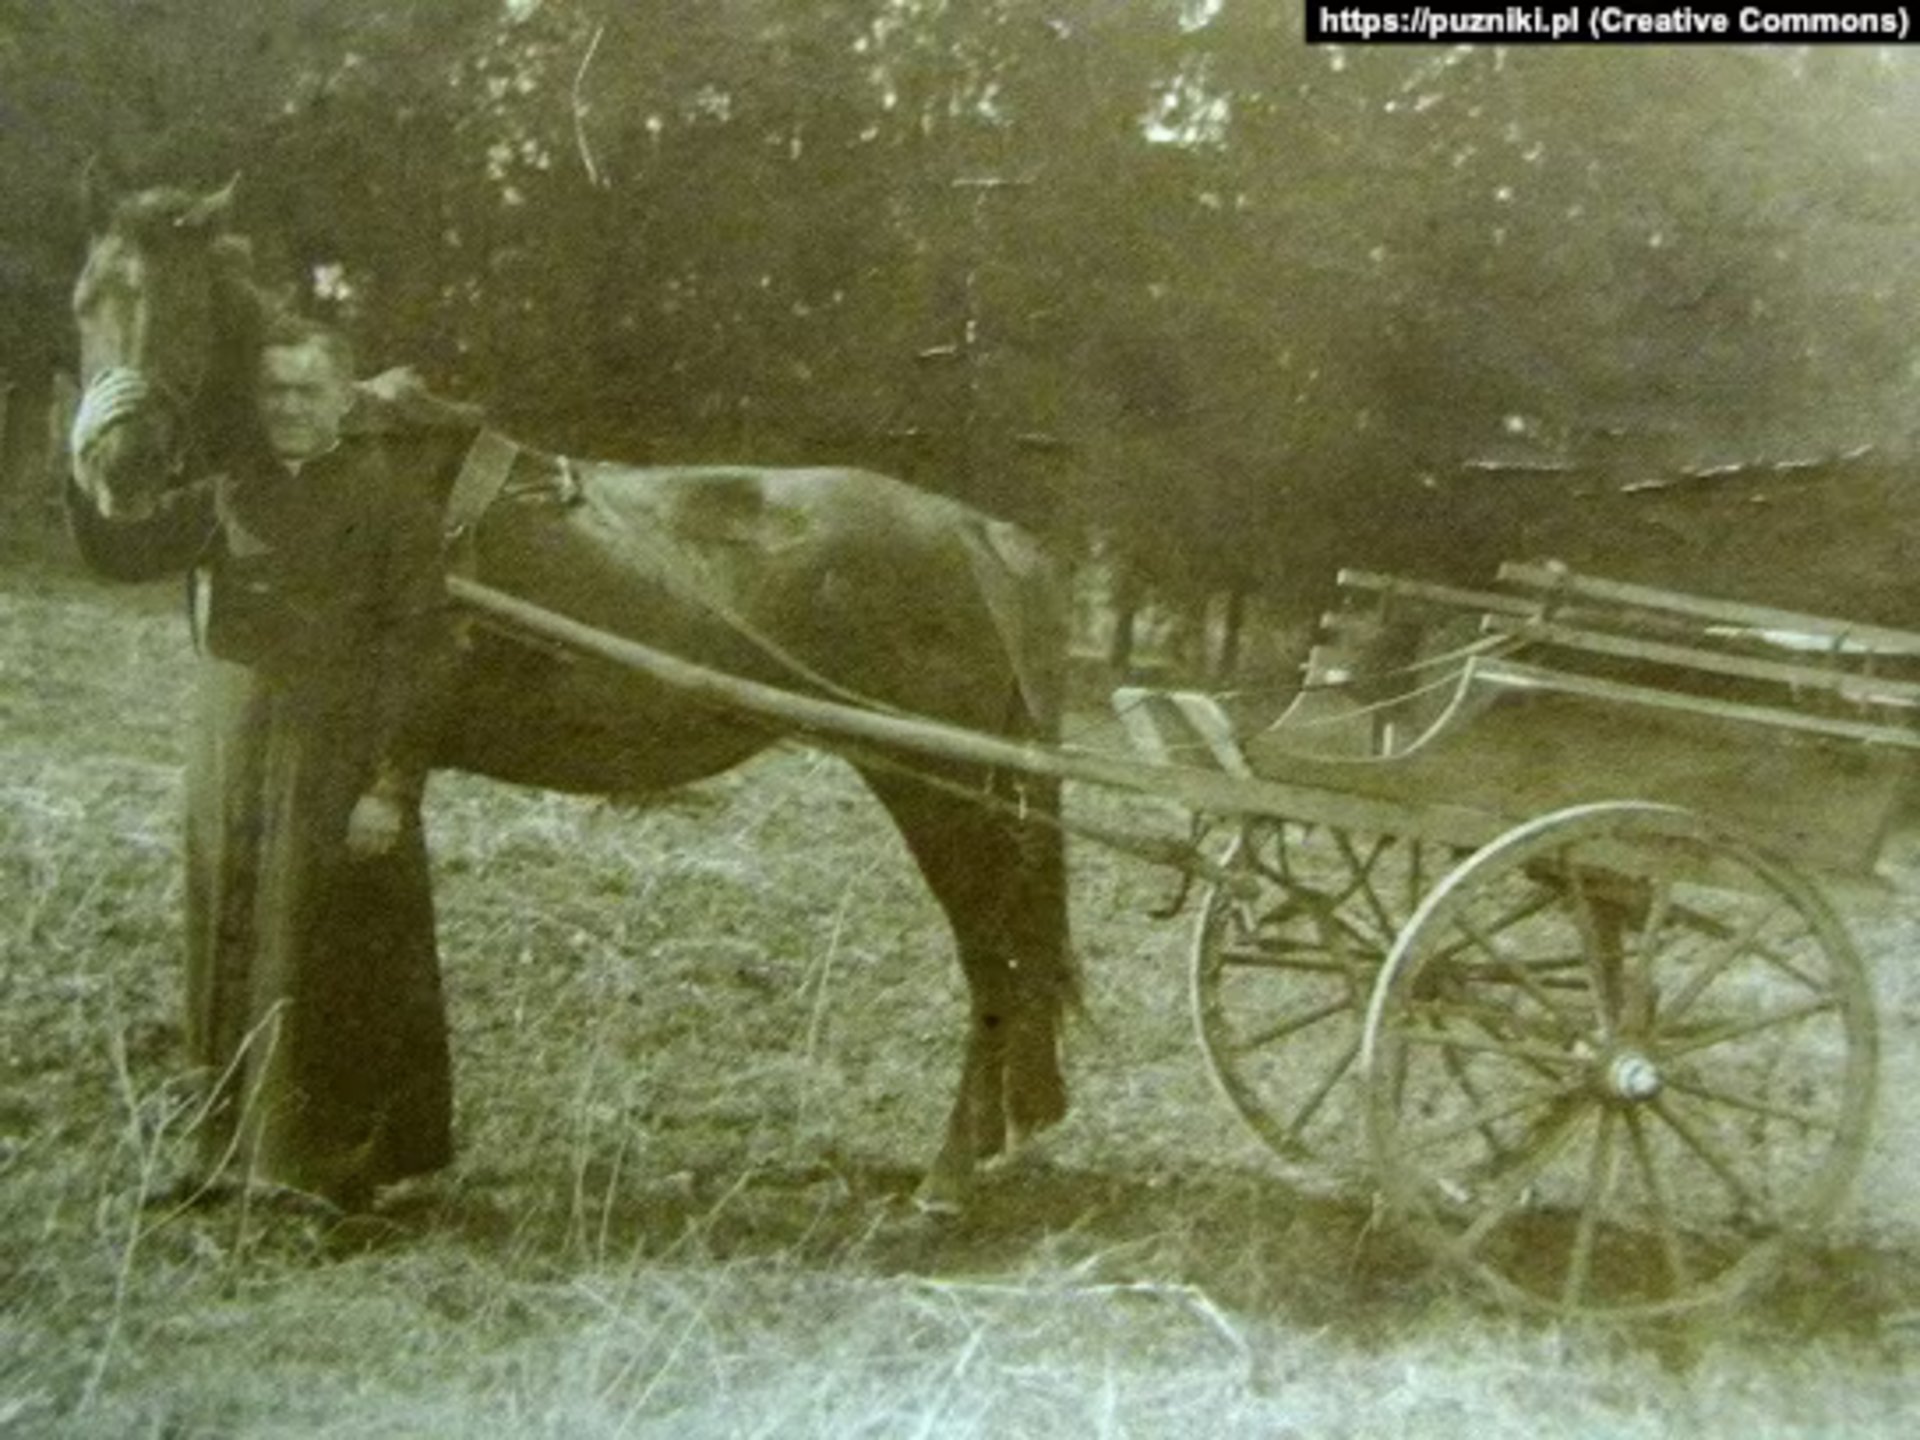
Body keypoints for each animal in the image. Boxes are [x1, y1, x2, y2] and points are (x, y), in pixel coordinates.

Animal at [63, 183, 1082, 1221]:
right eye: (86, 303)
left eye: (189, 308)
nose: (121, 466)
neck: (333, 459)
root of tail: (977, 534)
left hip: (937, 786)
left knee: (995, 958)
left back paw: (950, 1176)